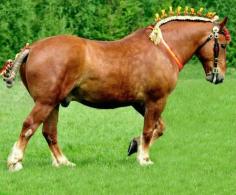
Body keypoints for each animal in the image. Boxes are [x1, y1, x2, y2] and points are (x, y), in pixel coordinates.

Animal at [2, 14, 230, 171]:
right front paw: (144, 158)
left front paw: (135, 145)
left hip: (54, 104)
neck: (161, 50)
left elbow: (158, 128)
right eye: (223, 45)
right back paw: (15, 161)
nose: (219, 77)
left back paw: (63, 161)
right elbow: (149, 130)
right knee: (29, 126)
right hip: (46, 102)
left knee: (49, 133)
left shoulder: (140, 103)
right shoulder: (156, 100)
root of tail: (32, 48)